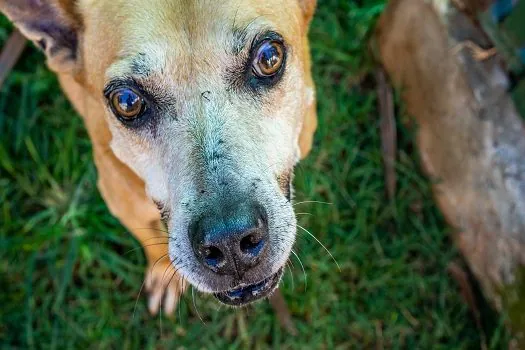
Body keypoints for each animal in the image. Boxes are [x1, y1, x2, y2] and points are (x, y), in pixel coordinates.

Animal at [1, 0, 316, 316]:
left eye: (268, 58)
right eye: (127, 101)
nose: (229, 242)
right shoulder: (122, 203)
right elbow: (150, 242)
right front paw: (164, 273)